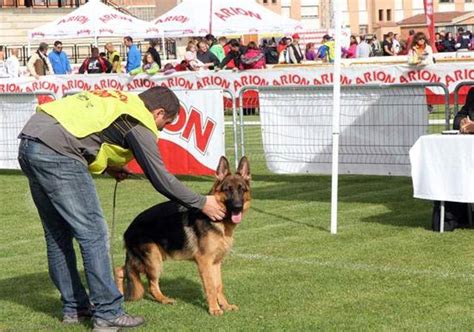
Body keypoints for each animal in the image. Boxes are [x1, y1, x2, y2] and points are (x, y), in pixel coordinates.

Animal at [115, 157, 250, 316]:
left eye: (241, 189)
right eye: (227, 190)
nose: (237, 207)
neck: (219, 221)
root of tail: (128, 230)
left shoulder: (216, 262)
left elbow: (218, 286)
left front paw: (225, 306)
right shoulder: (205, 262)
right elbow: (211, 287)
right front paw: (214, 309)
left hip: (147, 259)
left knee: (120, 270)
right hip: (153, 260)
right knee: (151, 285)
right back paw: (164, 299)